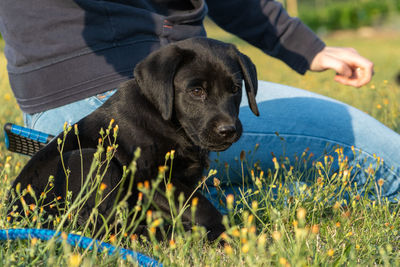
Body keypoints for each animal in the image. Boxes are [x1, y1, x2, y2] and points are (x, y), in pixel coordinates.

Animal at [10, 38, 260, 243]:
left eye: (235, 89)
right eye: (196, 91)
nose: (227, 130)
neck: (167, 121)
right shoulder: (150, 179)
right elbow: (199, 205)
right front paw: (228, 231)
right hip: (94, 160)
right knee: (104, 227)